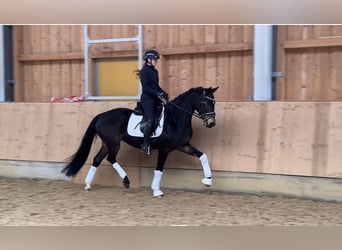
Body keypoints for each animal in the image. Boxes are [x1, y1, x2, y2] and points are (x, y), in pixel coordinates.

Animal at [61, 86, 219, 197]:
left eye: (214, 102)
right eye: (204, 102)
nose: (211, 123)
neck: (175, 119)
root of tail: (101, 115)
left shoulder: (183, 146)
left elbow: (202, 156)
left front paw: (208, 180)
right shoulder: (165, 149)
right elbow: (159, 169)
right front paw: (156, 190)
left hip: (107, 143)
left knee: (97, 159)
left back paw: (88, 185)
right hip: (114, 144)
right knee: (110, 158)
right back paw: (126, 181)